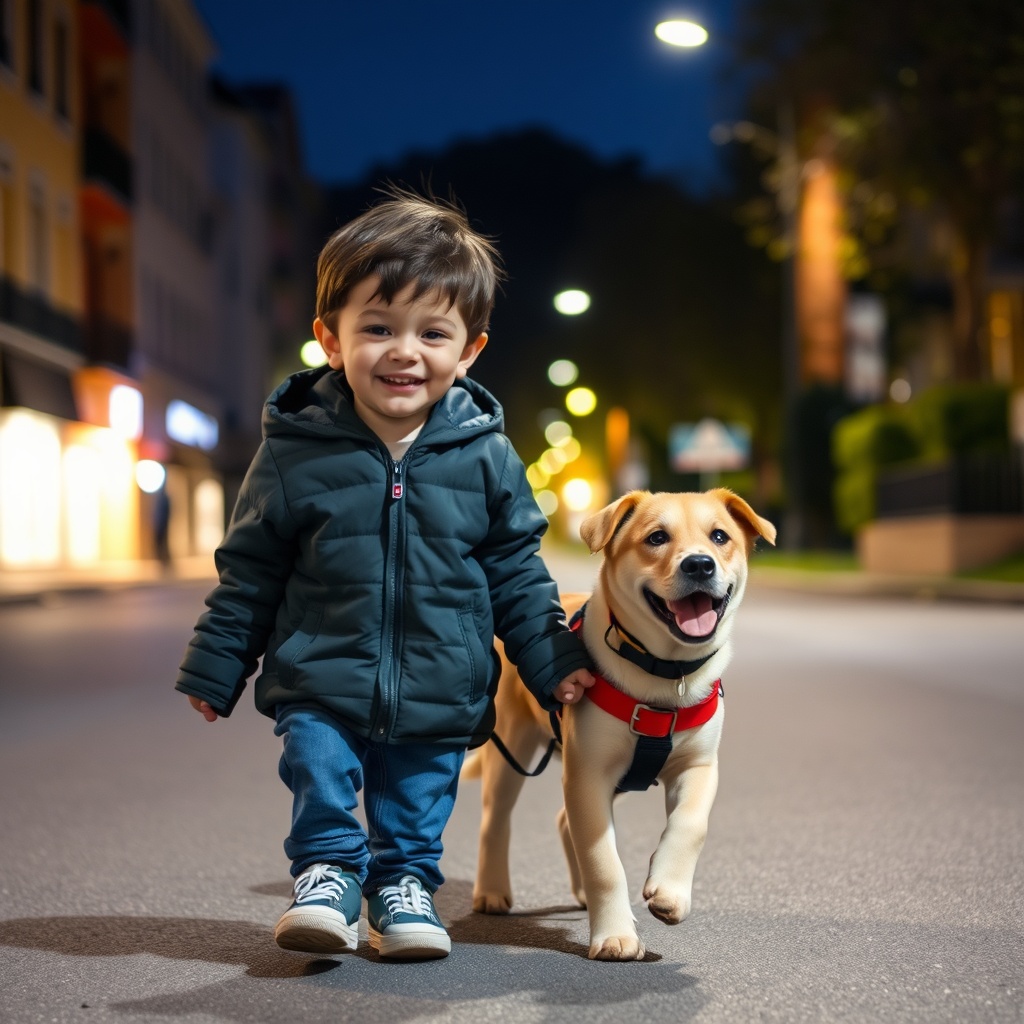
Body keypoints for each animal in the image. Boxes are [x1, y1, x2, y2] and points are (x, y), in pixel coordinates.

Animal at [464, 487, 774, 958]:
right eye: (657, 537)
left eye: (720, 536)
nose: (699, 564)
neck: (666, 674)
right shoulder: (589, 774)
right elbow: (603, 861)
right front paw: (614, 935)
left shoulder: (699, 767)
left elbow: (691, 824)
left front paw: (670, 891)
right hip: (512, 748)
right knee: (494, 821)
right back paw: (492, 891)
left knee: (563, 819)